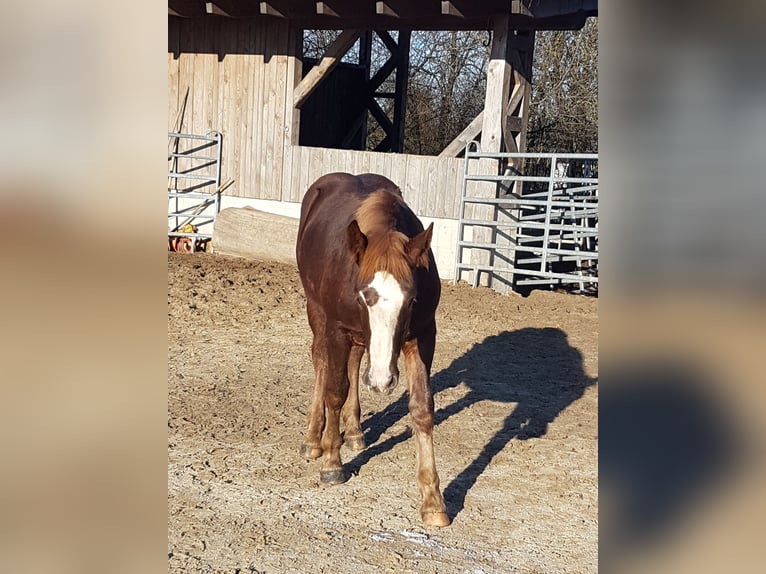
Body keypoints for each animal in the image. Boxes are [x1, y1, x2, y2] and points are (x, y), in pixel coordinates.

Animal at [296, 173, 450, 528]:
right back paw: (313, 440)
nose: (382, 380)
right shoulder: (336, 327)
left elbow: (422, 407)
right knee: (321, 362)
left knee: (354, 362)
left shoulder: (422, 334)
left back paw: (354, 432)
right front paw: (332, 463)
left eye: (412, 299)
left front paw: (433, 501)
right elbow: (335, 390)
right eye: (363, 297)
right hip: (317, 313)